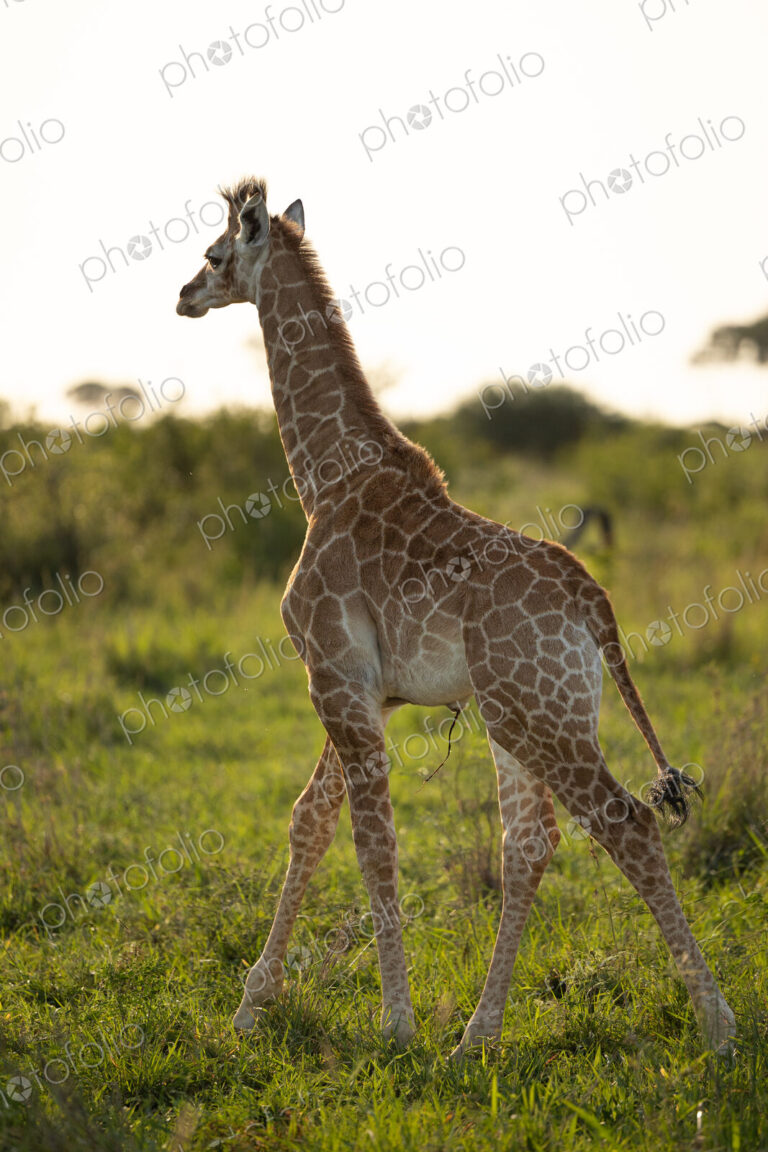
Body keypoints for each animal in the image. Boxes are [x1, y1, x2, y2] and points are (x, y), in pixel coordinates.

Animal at [176, 178, 736, 1058]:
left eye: (214, 252)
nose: (183, 295)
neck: (324, 478)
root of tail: (596, 603)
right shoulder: (363, 690)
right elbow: (311, 821)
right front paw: (252, 1004)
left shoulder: (334, 678)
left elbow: (373, 842)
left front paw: (394, 1023)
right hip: (522, 715)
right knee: (530, 843)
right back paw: (477, 1035)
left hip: (539, 715)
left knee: (630, 827)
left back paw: (718, 1025)